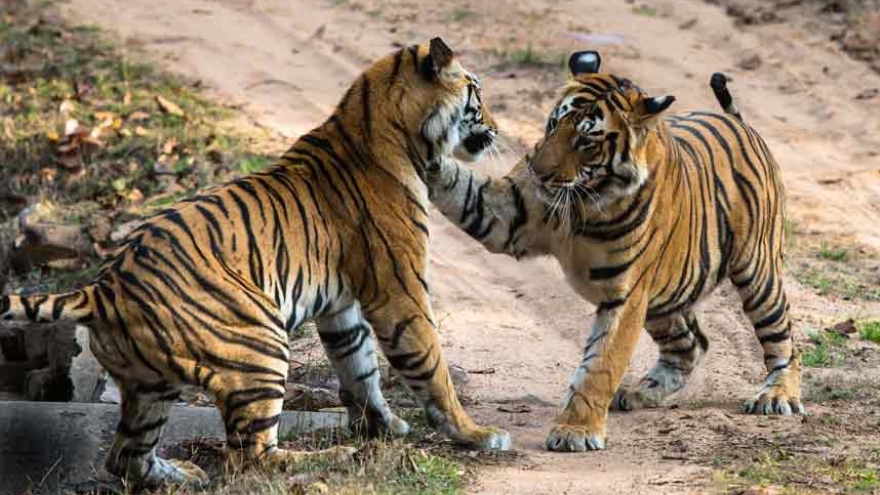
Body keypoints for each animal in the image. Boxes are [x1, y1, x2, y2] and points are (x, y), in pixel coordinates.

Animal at [0, 37, 510, 488]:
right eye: (477, 93)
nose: (499, 129)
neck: (393, 128)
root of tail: (104, 288)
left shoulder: (341, 307)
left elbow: (359, 365)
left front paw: (383, 426)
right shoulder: (399, 292)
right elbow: (430, 364)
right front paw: (476, 434)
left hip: (150, 386)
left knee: (126, 457)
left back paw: (185, 474)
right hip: (259, 344)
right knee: (252, 457)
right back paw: (332, 458)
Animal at [426, 50, 802, 453]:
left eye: (586, 141)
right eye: (554, 123)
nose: (538, 172)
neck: (584, 204)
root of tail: (739, 123)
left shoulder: (627, 296)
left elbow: (601, 365)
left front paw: (576, 431)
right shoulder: (507, 213)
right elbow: (461, 186)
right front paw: (424, 151)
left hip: (756, 272)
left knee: (783, 339)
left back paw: (777, 396)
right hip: (664, 298)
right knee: (691, 343)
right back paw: (640, 393)